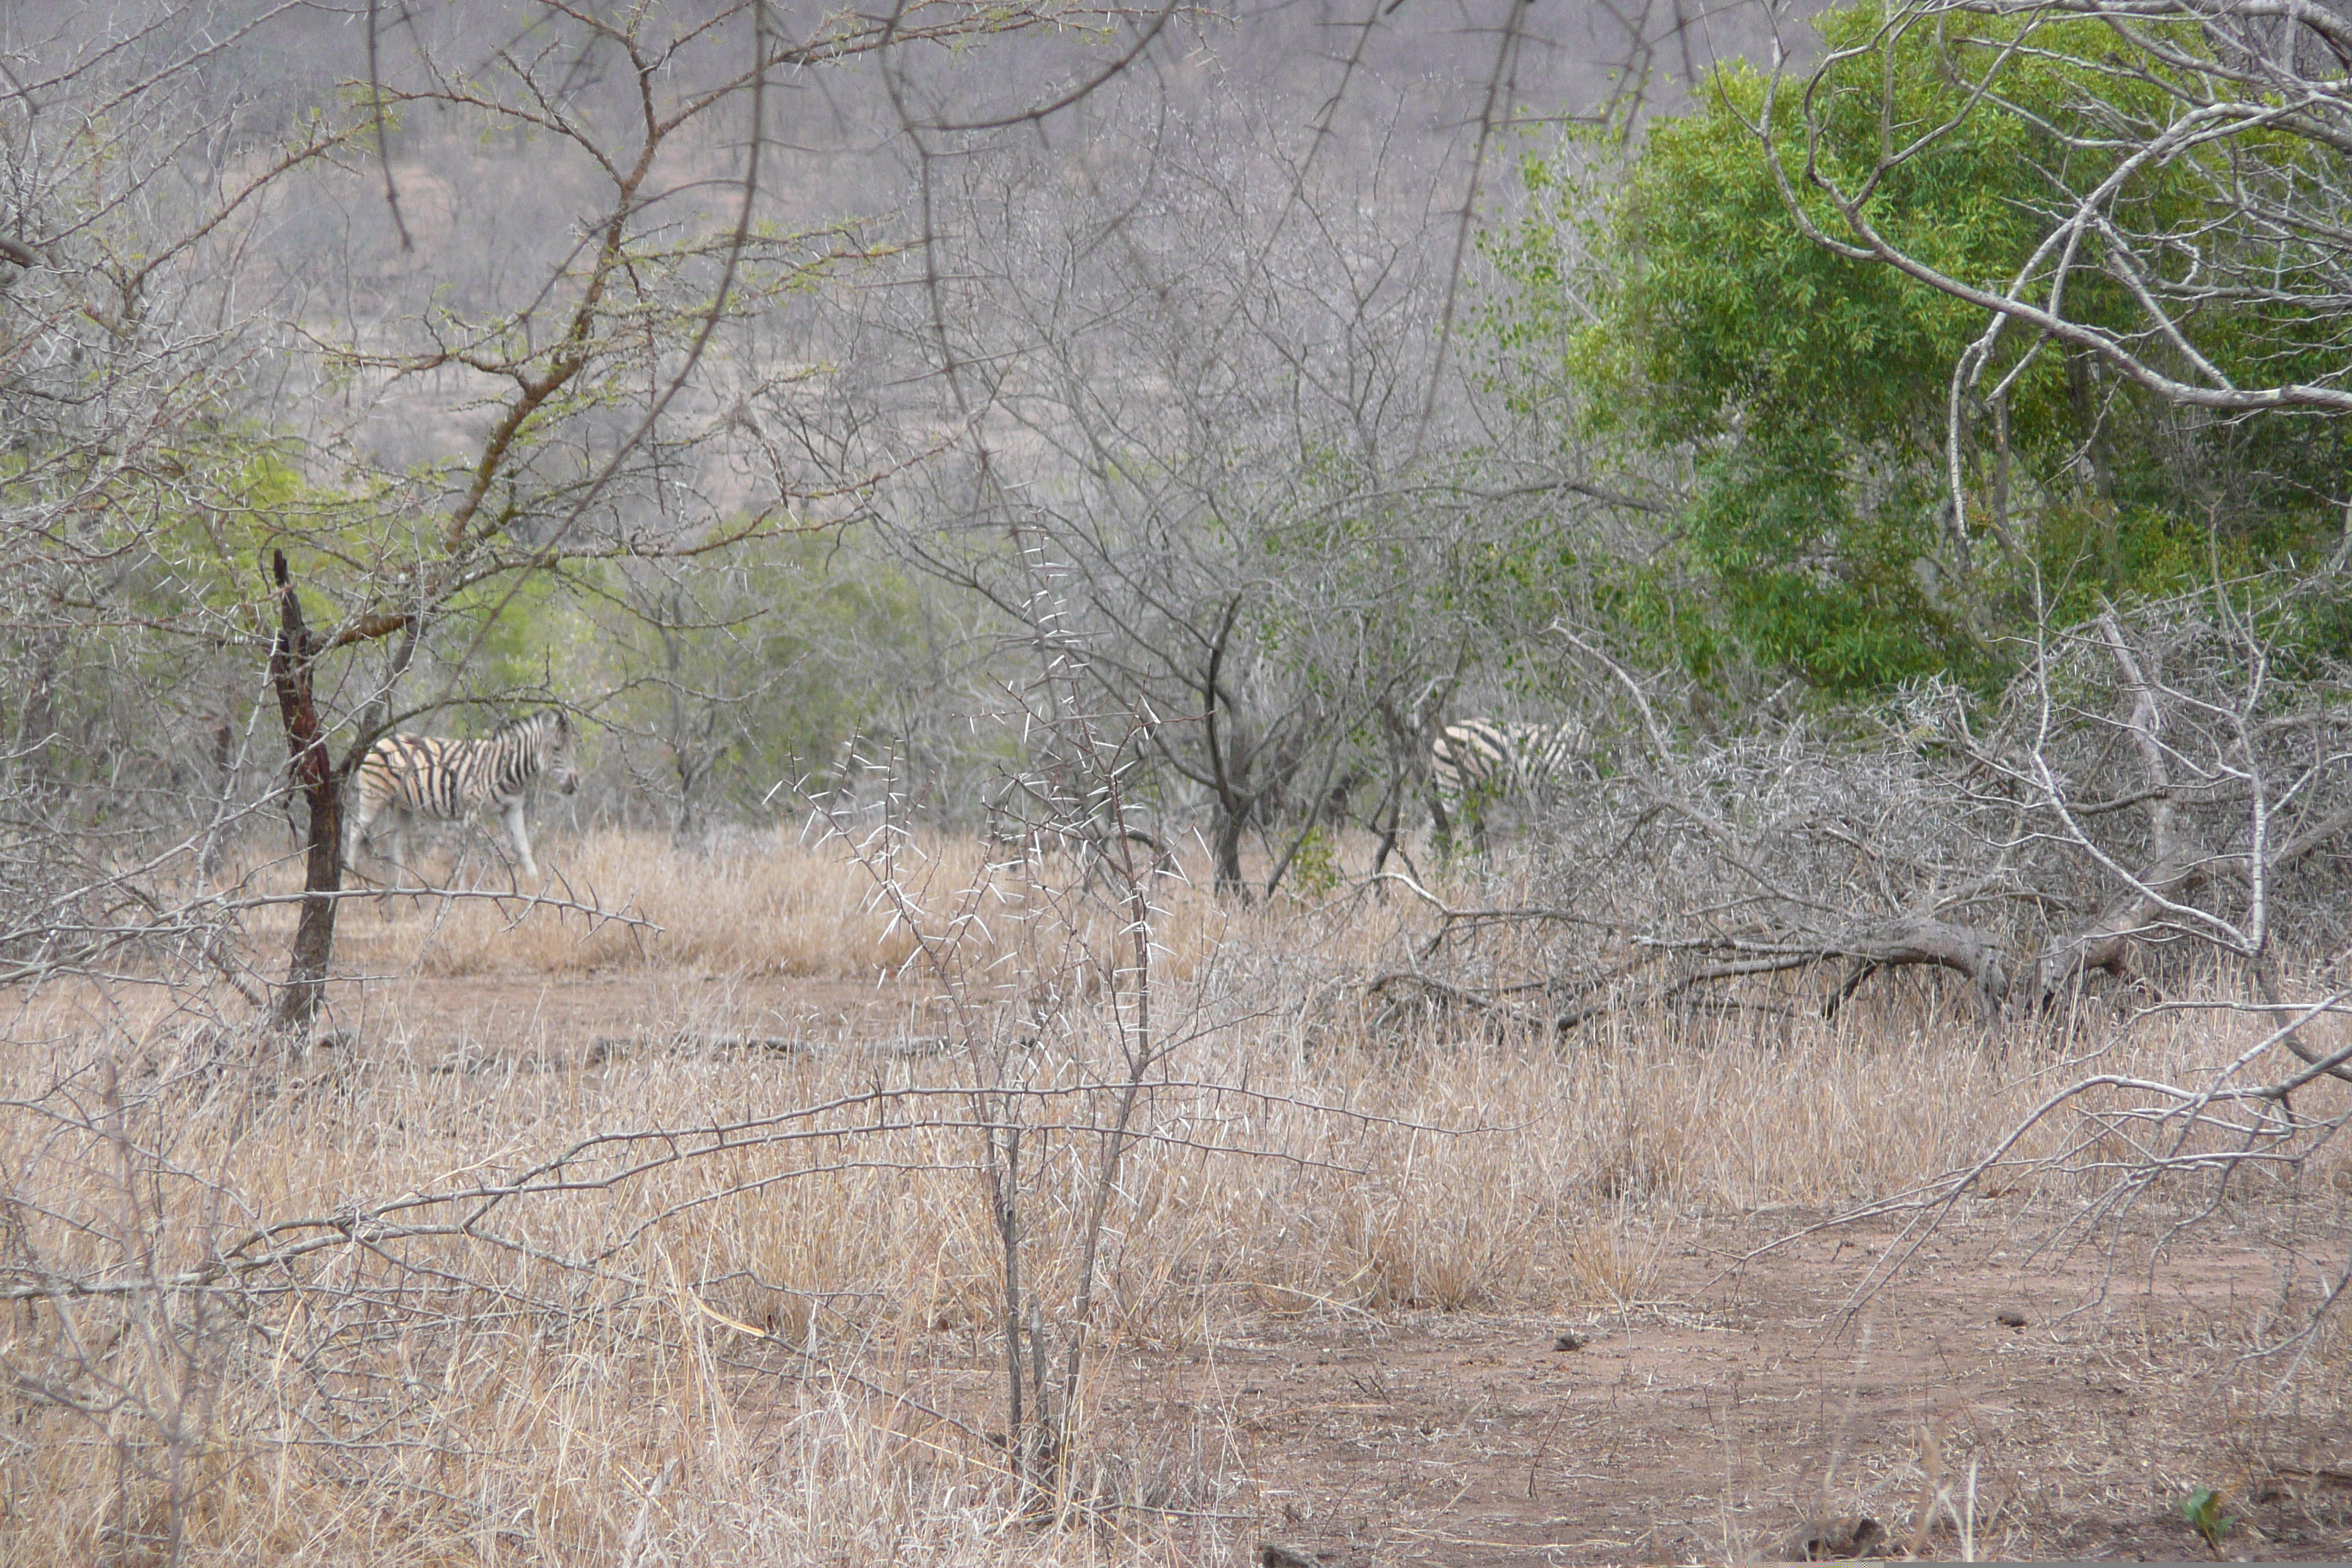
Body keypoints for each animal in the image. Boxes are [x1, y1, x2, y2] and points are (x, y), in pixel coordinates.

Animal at [343, 709, 583, 883]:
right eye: (557, 749)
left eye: (573, 750)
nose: (574, 784)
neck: (507, 769)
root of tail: (380, 741)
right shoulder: (472, 808)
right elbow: (465, 855)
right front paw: (457, 889)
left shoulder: (513, 808)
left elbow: (524, 848)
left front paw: (536, 884)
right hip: (374, 796)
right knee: (355, 832)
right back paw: (348, 880)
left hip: (404, 806)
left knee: (395, 842)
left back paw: (400, 883)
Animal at [1430, 719, 1580, 851]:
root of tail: (1442, 734)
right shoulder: (1564, 797)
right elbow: (1568, 837)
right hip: (1453, 791)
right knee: (1440, 829)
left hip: (1475, 798)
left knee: (1473, 831)